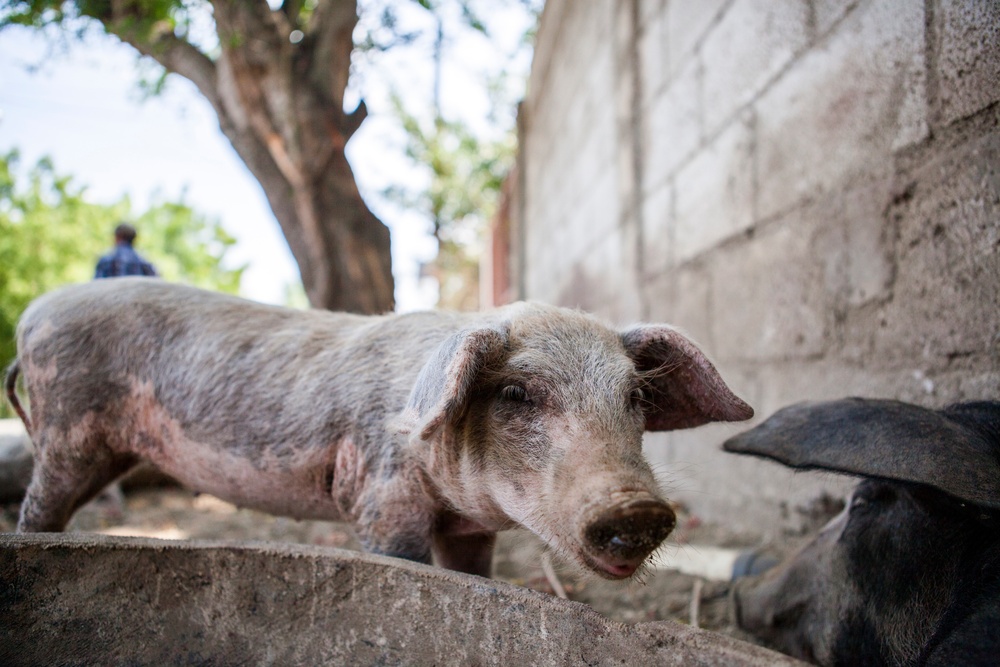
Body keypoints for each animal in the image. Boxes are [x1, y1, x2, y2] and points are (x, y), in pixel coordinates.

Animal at [1, 276, 752, 580]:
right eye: (515, 392)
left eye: (634, 396)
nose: (640, 508)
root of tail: (32, 315)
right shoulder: (381, 499)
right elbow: (402, 560)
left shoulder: (469, 530)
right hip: (67, 425)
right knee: (37, 508)